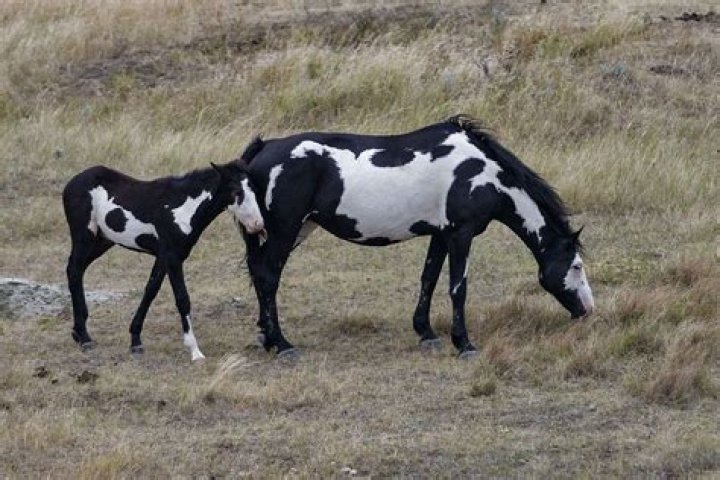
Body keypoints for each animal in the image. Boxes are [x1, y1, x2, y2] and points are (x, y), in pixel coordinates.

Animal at [62, 160, 264, 361]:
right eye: (236, 192)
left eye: (254, 189)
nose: (258, 225)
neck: (182, 208)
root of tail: (71, 183)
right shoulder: (173, 258)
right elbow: (182, 298)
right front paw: (195, 351)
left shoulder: (163, 257)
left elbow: (150, 291)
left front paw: (136, 340)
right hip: (84, 237)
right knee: (74, 270)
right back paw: (84, 337)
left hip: (102, 241)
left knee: (77, 271)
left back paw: (78, 333)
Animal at [240, 115, 594, 358]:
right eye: (576, 266)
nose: (587, 310)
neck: (481, 172)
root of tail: (263, 149)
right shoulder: (461, 234)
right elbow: (457, 288)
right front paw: (464, 344)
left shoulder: (441, 235)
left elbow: (429, 279)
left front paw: (426, 333)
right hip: (285, 232)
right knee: (268, 278)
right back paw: (282, 344)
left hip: (289, 231)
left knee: (259, 275)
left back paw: (266, 337)